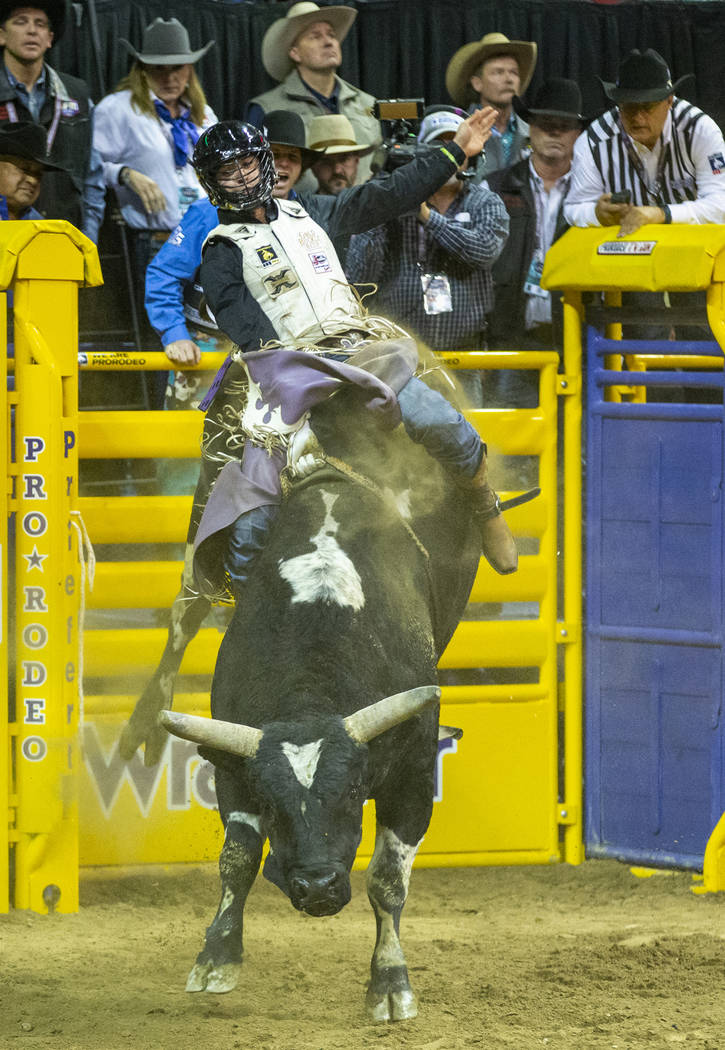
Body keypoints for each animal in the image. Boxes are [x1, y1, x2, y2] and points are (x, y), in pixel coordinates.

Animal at [160, 384, 479, 1016]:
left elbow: (387, 879)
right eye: (269, 797)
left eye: (354, 790)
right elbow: (237, 860)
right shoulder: (232, 767)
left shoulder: (411, 774)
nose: (316, 887)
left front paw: (390, 983)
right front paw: (216, 958)